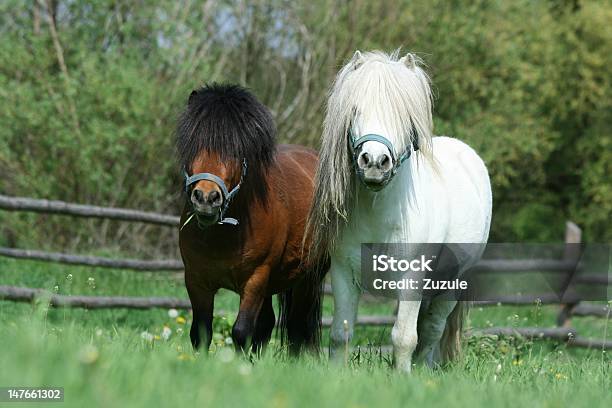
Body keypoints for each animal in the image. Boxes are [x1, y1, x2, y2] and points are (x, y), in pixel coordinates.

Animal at [176, 83, 326, 354]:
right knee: (268, 322)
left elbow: (241, 331)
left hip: (308, 277)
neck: (223, 235)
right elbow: (201, 332)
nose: (206, 198)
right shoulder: (196, 280)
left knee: (298, 325)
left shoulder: (255, 280)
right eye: (195, 143)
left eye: (236, 151)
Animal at [306, 51, 492, 372]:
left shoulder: (412, 278)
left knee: (431, 329)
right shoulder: (343, 273)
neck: (379, 216)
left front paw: (403, 377)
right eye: (355, 110)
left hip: (451, 285)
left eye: (404, 115)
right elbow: (341, 332)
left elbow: (405, 337)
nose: (374, 162)